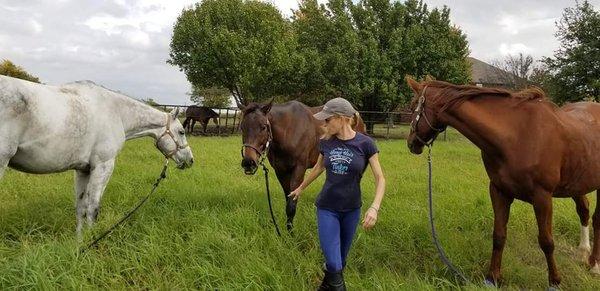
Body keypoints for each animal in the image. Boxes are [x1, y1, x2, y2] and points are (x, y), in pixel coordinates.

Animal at [0, 75, 192, 240]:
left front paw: (79, 241)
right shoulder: (103, 166)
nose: (190, 160)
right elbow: (93, 207)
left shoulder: (82, 170)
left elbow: (81, 207)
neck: (117, 112)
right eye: (181, 132)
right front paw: (91, 241)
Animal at [239, 100, 366, 230]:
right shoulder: (281, 171)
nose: (248, 162)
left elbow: (291, 205)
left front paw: (290, 233)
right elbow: (288, 198)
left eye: (263, 127)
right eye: (242, 127)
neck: (289, 131)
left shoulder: (299, 169)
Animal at [406, 76, 600, 288]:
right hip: (577, 182)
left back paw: (594, 265)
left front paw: (554, 282)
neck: (516, 135)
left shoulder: (542, 197)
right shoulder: (499, 191)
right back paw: (583, 254)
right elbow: (498, 236)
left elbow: (547, 241)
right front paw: (492, 278)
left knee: (596, 219)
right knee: (584, 210)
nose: (411, 143)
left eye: (413, 106)